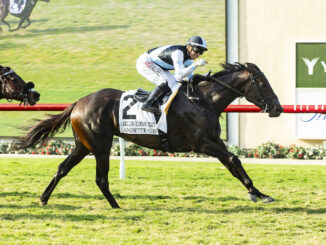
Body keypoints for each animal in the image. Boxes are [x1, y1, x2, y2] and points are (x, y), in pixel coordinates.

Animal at [16, 62, 284, 209]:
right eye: (262, 82)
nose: (278, 108)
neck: (203, 99)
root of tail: (78, 103)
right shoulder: (201, 144)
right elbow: (233, 159)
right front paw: (256, 193)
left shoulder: (214, 141)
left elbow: (233, 164)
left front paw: (258, 193)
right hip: (100, 145)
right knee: (101, 179)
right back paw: (116, 206)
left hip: (83, 145)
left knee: (62, 168)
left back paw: (44, 198)